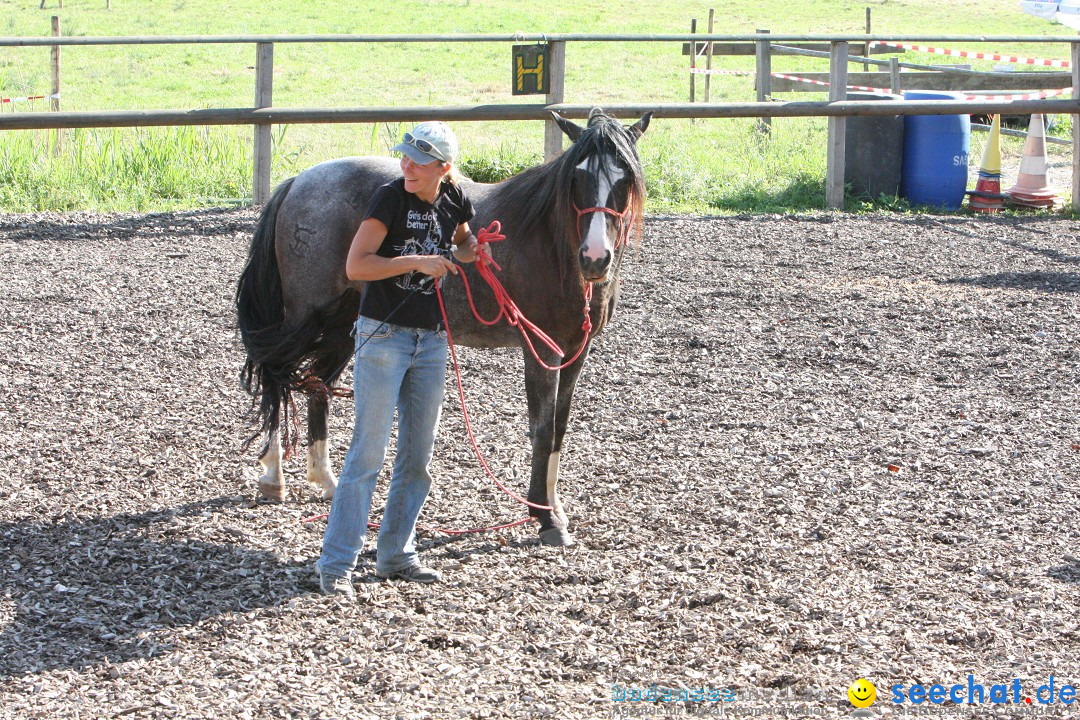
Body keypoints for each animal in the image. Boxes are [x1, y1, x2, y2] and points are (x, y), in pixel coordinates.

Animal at [235, 108, 648, 546]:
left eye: (624, 178)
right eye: (578, 178)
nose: (595, 257)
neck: (551, 246)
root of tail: (298, 182)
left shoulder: (574, 353)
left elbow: (558, 430)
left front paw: (556, 511)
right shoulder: (541, 350)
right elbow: (542, 429)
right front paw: (545, 517)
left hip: (344, 324)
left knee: (317, 386)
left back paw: (326, 481)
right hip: (304, 315)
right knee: (277, 376)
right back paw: (273, 476)